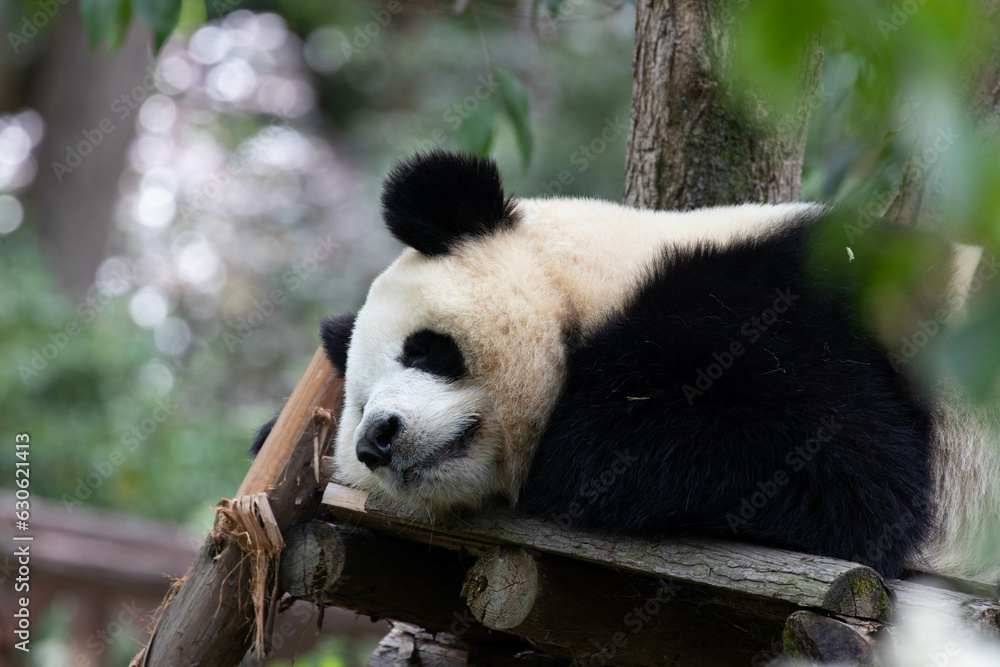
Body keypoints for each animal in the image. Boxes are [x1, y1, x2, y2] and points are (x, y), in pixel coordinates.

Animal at [252, 150, 1000, 582]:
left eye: (424, 348)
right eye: (357, 402)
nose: (377, 438)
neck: (599, 278)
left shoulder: (775, 304)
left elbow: (844, 465)